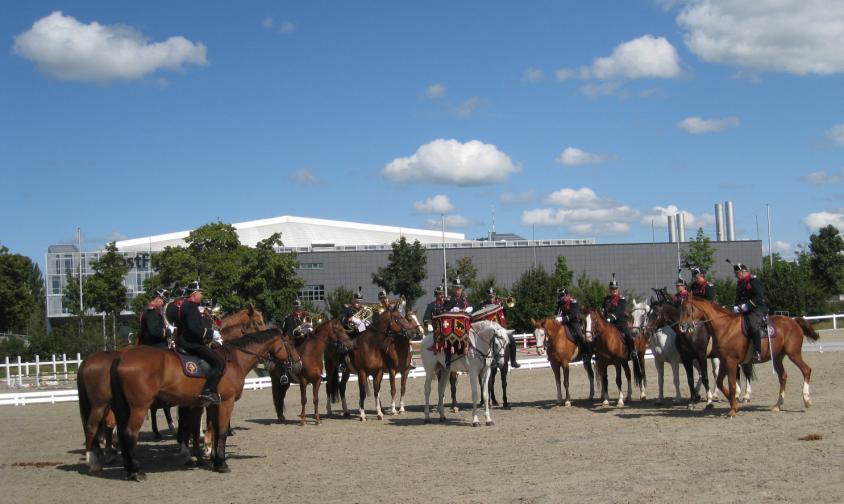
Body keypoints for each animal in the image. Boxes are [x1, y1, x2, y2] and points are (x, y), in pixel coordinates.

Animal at [109, 328, 300, 478]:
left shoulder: (214, 405)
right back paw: (137, 471)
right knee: (130, 433)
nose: (298, 363)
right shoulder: (226, 403)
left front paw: (214, 459)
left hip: (126, 408)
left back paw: (129, 469)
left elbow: (214, 430)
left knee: (122, 433)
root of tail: (121, 357)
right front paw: (222, 464)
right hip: (139, 408)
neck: (235, 359)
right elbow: (221, 432)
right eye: (289, 343)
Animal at [680, 296, 816, 418]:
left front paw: (732, 410)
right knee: (783, 377)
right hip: (777, 358)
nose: (682, 326)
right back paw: (778, 405)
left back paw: (807, 400)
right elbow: (720, 382)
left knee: (806, 370)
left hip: (794, 354)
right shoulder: (724, 361)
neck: (725, 327)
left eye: (688, 309)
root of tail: (793, 321)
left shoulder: (731, 362)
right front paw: (734, 403)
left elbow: (732, 384)